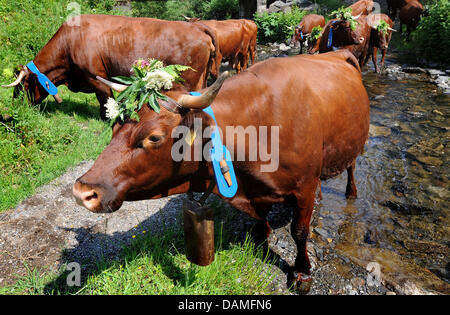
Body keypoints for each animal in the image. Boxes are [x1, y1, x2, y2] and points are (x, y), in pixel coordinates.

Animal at [1, 13, 220, 120]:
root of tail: (197, 26)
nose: (14, 111)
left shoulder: (96, 77)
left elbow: (105, 99)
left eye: (21, 87)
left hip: (191, 82)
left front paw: (108, 117)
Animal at [73, 50, 370, 296]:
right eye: (115, 123)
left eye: (154, 137)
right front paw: (261, 239)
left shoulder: (304, 186)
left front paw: (302, 273)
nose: (81, 191)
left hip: (355, 146)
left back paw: (352, 193)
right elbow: (262, 218)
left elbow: (299, 232)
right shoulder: (259, 190)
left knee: (352, 169)